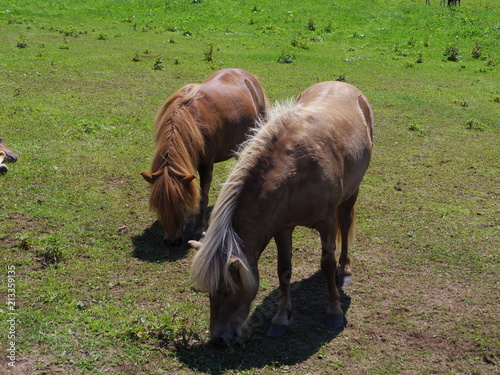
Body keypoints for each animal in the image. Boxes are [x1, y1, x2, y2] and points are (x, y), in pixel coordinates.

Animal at [141, 69, 270, 248]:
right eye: (159, 206)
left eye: (179, 205)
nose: (172, 241)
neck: (190, 120)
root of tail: (249, 77)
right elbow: (192, 190)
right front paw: (189, 222)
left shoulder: (206, 165)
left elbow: (203, 197)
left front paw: (200, 229)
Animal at [189, 81, 374, 346]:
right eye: (208, 292)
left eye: (228, 291)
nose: (218, 339)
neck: (295, 172)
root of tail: (341, 84)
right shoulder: (282, 228)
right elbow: (283, 269)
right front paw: (281, 318)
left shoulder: (327, 224)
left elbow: (327, 264)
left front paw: (334, 311)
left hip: (352, 193)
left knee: (346, 224)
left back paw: (345, 269)